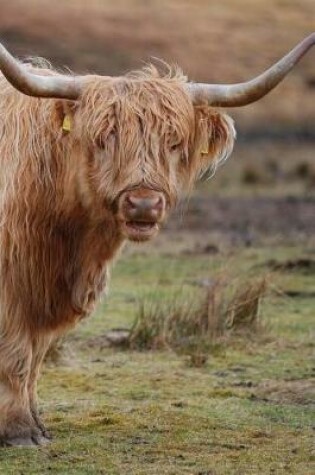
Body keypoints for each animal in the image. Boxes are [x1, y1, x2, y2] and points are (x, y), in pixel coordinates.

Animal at [0, 35, 314, 448]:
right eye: (105, 137)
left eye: (174, 142)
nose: (144, 203)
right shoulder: (14, 285)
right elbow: (16, 355)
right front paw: (20, 432)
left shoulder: (42, 290)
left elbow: (35, 357)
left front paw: (38, 426)